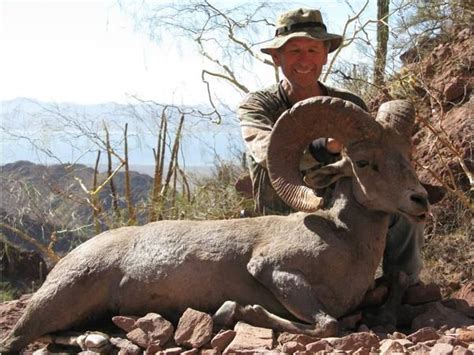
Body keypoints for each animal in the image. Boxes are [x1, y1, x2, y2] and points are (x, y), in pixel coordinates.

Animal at [0, 97, 430, 354]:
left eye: (406, 155)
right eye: (365, 163)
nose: (420, 200)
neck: (344, 240)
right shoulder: (274, 270)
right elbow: (326, 326)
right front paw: (237, 311)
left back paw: (101, 338)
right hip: (61, 296)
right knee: (19, 337)